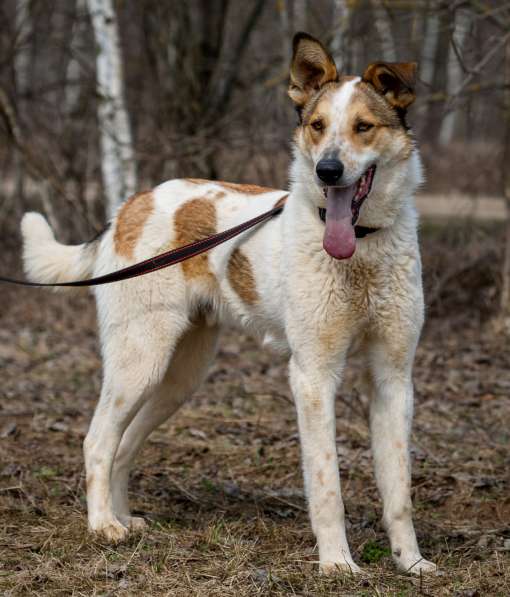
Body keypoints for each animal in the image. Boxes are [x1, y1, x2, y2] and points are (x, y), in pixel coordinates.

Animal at [18, 35, 434, 576]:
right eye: (318, 126)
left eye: (363, 127)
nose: (327, 170)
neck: (361, 250)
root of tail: (128, 207)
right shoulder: (313, 377)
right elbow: (328, 486)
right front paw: (337, 563)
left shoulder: (393, 379)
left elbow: (399, 490)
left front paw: (410, 562)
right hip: (139, 362)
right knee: (97, 441)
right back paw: (102, 525)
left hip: (178, 379)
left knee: (124, 446)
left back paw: (124, 518)